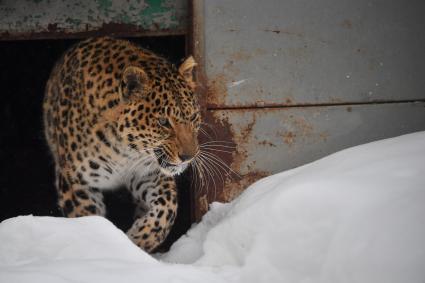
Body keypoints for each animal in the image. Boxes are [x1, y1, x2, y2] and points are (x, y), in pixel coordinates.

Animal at [43, 37, 200, 253]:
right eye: (163, 122)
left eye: (192, 117)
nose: (188, 156)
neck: (124, 150)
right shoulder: (75, 181)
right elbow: (90, 221)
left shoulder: (147, 173)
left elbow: (167, 207)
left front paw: (138, 239)